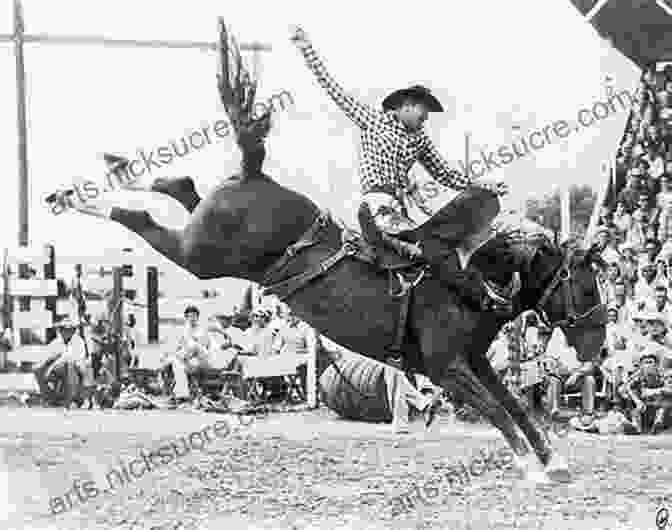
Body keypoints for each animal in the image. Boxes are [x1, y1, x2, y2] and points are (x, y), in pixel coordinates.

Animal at [63, 21, 608, 482]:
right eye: (584, 288)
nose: (598, 348)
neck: (475, 277)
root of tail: (254, 171)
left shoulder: (475, 361)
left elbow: (513, 403)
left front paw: (553, 461)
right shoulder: (447, 367)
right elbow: (497, 409)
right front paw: (533, 467)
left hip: (207, 235)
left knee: (183, 189)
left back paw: (107, 174)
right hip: (202, 255)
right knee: (144, 220)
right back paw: (72, 195)